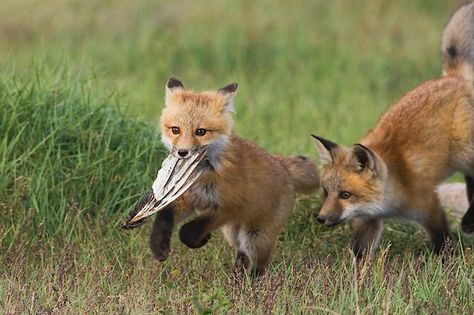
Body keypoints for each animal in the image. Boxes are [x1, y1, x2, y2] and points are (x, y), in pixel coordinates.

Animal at [150, 79, 318, 276]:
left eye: (201, 132)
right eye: (175, 130)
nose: (183, 152)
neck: (201, 177)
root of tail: (282, 165)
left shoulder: (230, 206)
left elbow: (188, 232)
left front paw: (200, 238)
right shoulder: (186, 199)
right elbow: (164, 217)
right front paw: (158, 247)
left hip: (255, 236)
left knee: (259, 264)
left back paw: (252, 281)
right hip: (233, 232)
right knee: (242, 255)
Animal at [312, 2, 472, 258]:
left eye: (345, 194)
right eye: (326, 192)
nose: (320, 218)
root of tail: (452, 78)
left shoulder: (429, 205)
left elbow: (442, 239)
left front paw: (446, 259)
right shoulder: (368, 220)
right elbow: (360, 252)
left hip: (465, 154)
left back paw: (469, 221)